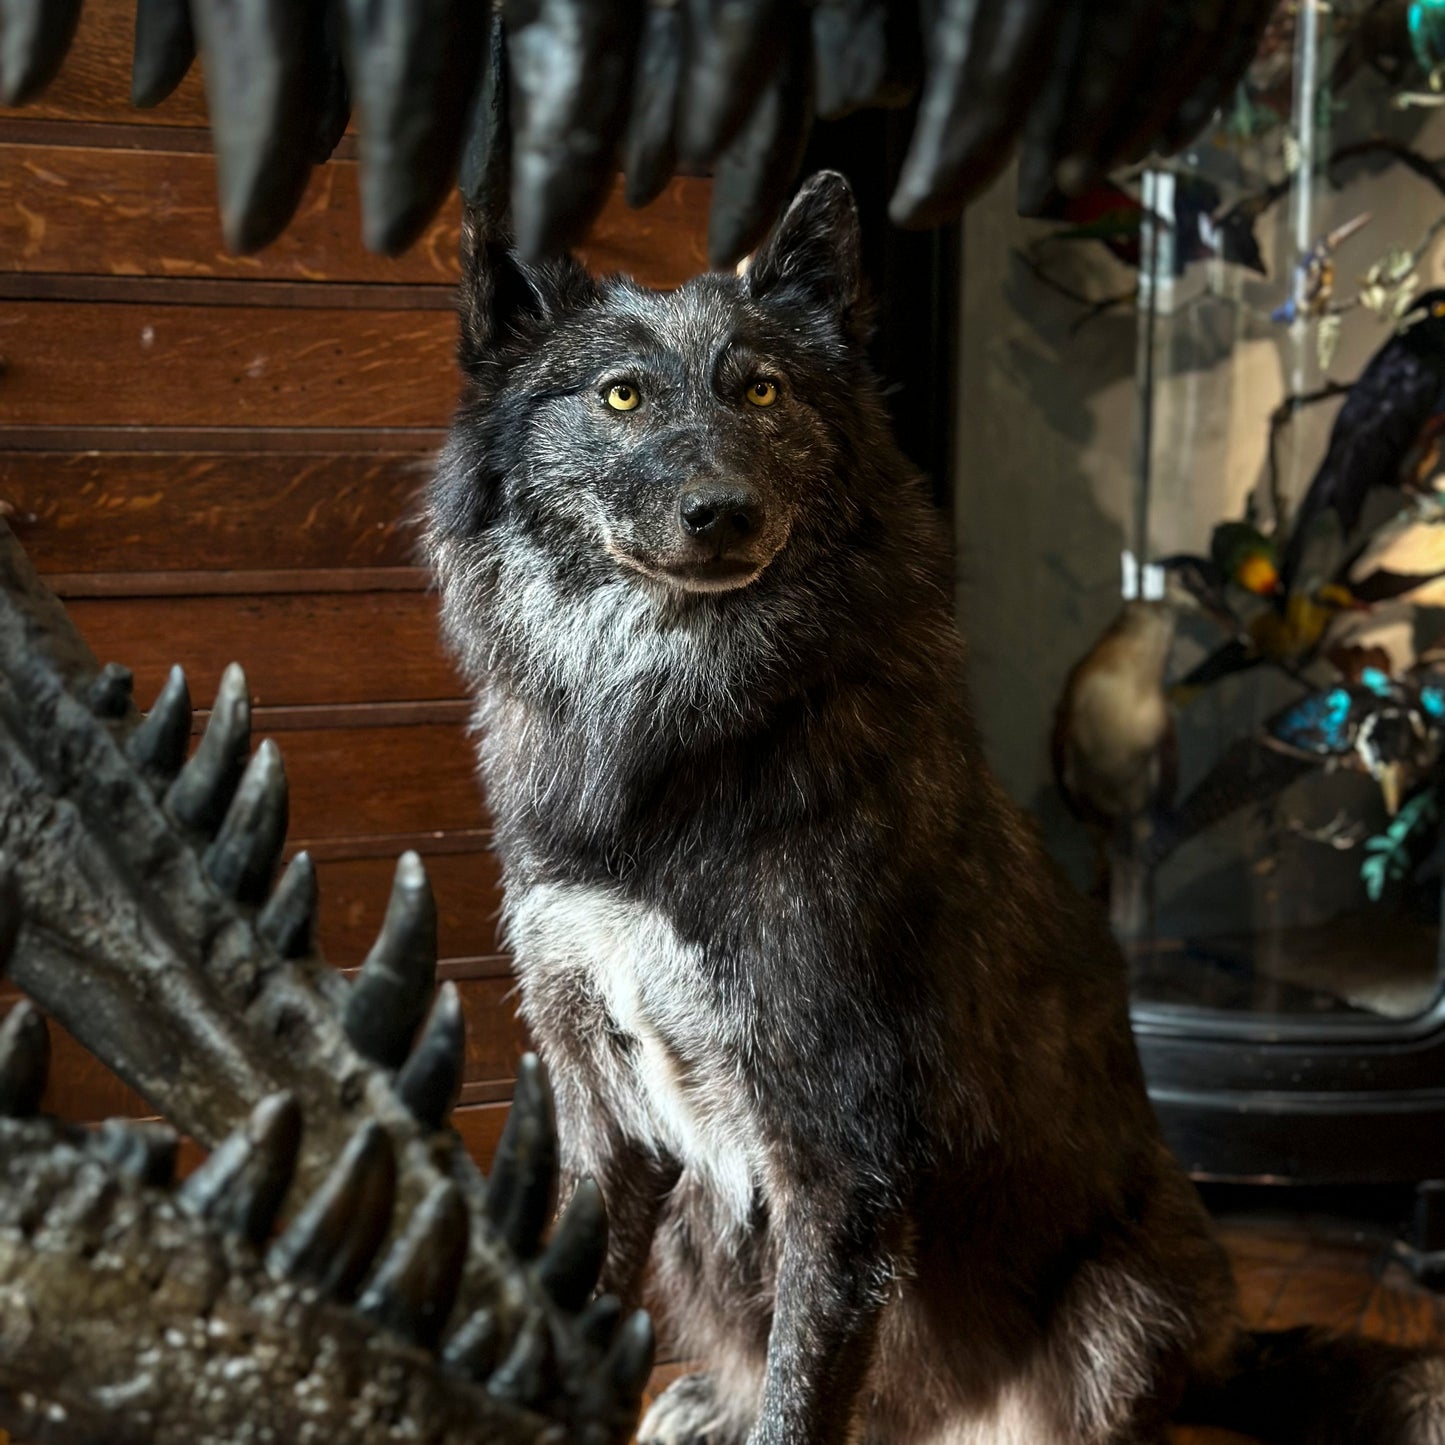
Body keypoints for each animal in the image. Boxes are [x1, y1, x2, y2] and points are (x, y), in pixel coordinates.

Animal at [426, 171, 1445, 1445]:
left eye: (760, 389)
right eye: (620, 394)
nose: (722, 511)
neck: (673, 730)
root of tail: (1222, 1348)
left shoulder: (840, 1162)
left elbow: (801, 1399)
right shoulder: (604, 1126)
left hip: (1128, 1291)